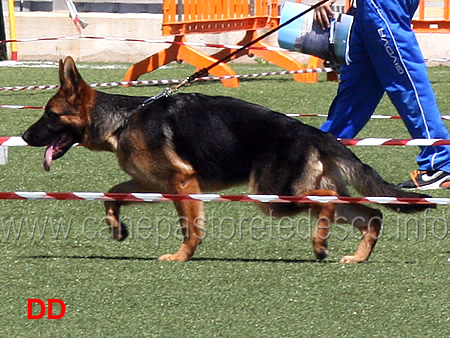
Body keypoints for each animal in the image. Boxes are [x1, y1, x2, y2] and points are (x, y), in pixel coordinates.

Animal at [22, 57, 430, 264]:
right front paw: (116, 227)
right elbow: (111, 194)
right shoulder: (150, 183)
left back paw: (320, 244)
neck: (124, 119)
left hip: (273, 196)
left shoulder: (182, 183)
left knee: (328, 203)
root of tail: (316, 134)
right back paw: (356, 256)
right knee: (371, 213)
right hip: (289, 193)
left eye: (50, 115)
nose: (25, 137)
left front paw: (181, 256)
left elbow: (191, 228)